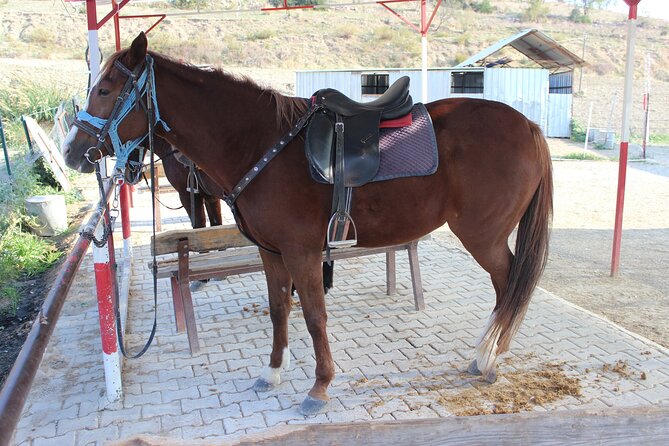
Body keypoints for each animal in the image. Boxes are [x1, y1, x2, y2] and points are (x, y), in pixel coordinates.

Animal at [64, 33, 552, 416]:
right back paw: (488, 353)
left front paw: (319, 387)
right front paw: (272, 372)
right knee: (508, 289)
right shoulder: (271, 252)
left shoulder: (302, 252)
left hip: (483, 237)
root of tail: (528, 125)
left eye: (104, 90)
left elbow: (315, 316)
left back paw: (488, 358)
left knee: (509, 285)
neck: (259, 142)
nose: (71, 152)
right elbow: (280, 309)